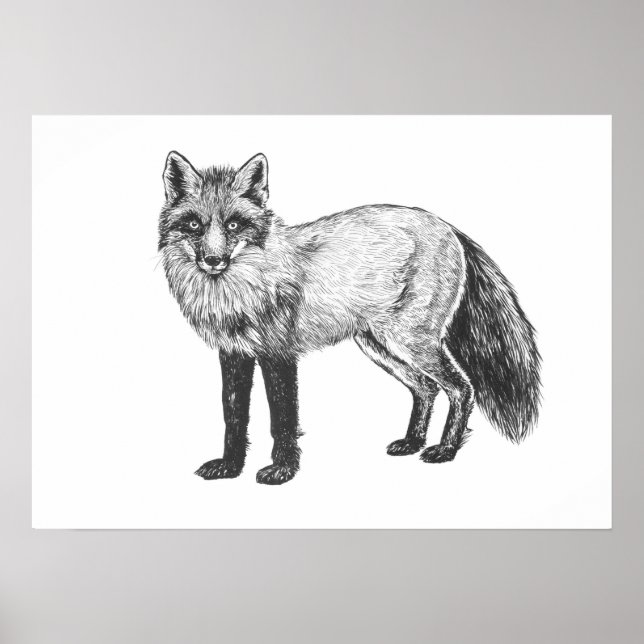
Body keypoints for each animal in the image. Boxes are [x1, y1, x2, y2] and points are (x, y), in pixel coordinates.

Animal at [159, 151, 541, 485]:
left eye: (234, 224)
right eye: (193, 224)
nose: (212, 260)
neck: (239, 292)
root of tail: (448, 226)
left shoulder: (278, 354)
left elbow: (282, 421)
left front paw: (282, 471)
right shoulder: (234, 354)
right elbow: (234, 418)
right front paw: (230, 467)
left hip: (412, 342)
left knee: (462, 388)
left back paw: (445, 450)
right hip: (378, 345)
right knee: (426, 387)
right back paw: (412, 443)